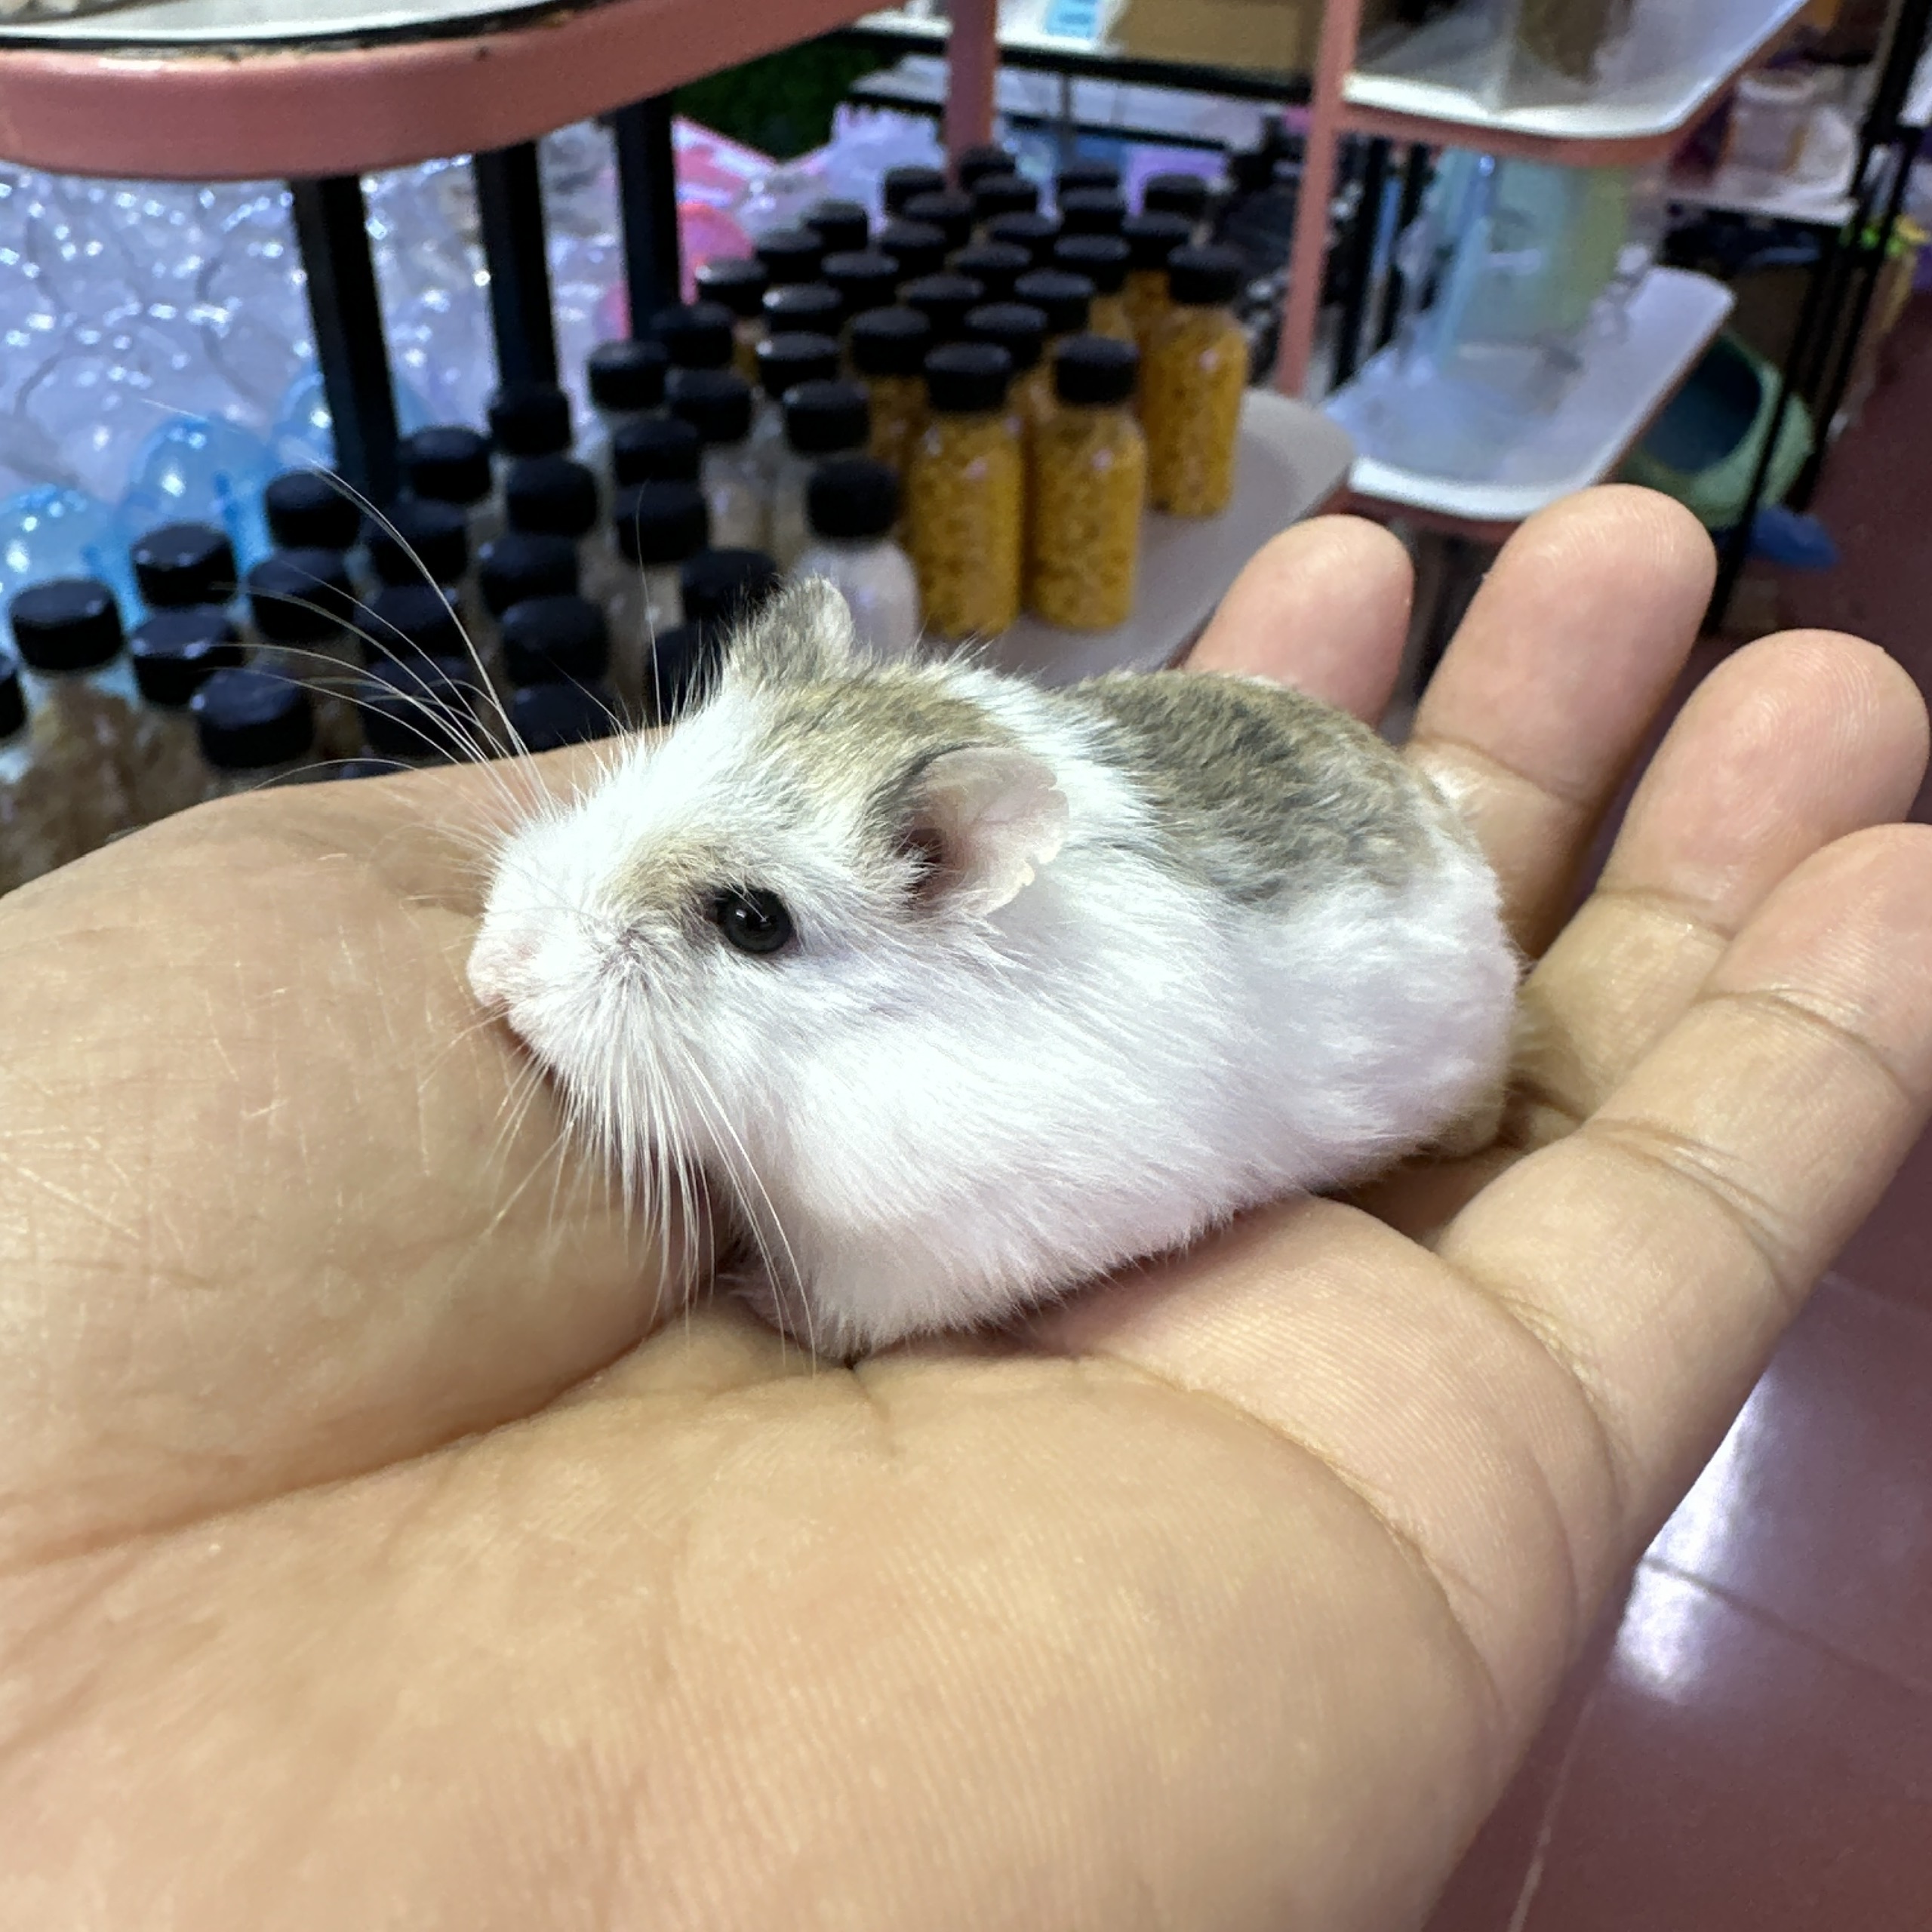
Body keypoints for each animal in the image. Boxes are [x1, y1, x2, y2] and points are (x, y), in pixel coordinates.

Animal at [468, 580, 1518, 1357]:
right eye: (639, 775)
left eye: (751, 922)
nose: (498, 979)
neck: (847, 1053)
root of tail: (1444, 814)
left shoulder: (931, 1244)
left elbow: (851, 1307)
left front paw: (760, 1298)